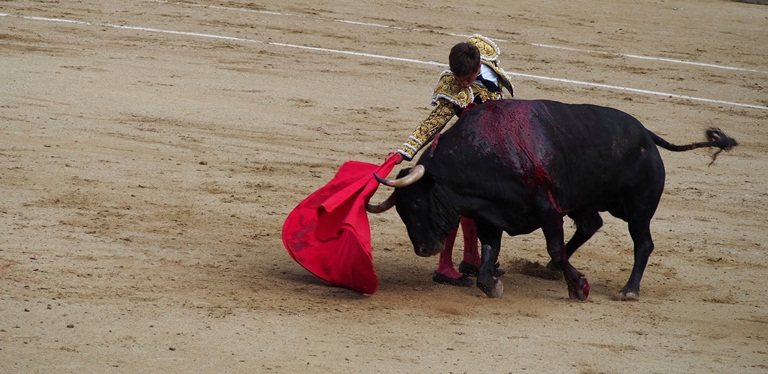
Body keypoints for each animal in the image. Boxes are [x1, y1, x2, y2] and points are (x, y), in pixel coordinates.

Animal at [372, 99, 736, 300]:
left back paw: (629, 290)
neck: (487, 154)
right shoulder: (491, 214)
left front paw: (579, 288)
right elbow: (490, 252)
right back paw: (550, 271)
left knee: (643, 243)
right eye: (401, 211)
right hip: (587, 202)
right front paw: (491, 285)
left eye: (417, 204)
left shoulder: (547, 209)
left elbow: (554, 246)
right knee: (591, 224)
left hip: (637, 208)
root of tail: (647, 134)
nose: (423, 249)